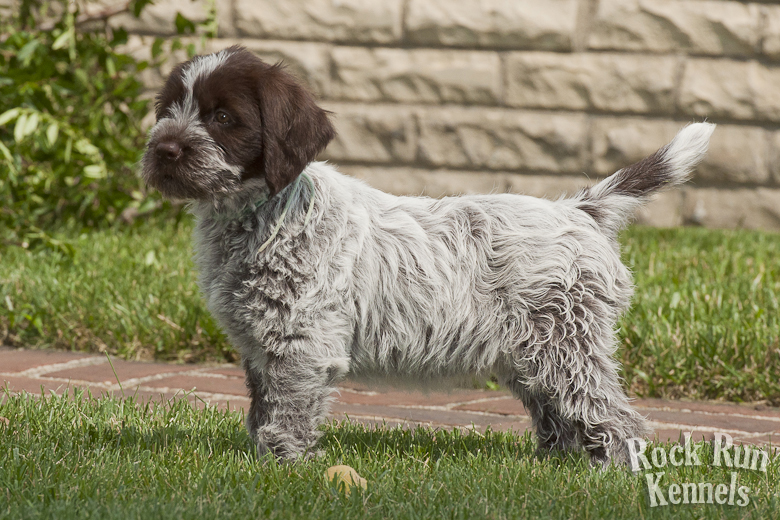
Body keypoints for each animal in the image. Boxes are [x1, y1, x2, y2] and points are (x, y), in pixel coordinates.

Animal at [141, 45, 714, 466]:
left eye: (222, 117)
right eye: (167, 111)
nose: (164, 150)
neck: (257, 212)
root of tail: (579, 210)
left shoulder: (300, 341)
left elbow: (288, 409)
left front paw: (283, 465)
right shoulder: (260, 341)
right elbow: (262, 406)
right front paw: (259, 457)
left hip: (565, 341)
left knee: (610, 414)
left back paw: (613, 470)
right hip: (532, 349)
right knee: (558, 412)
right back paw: (552, 465)